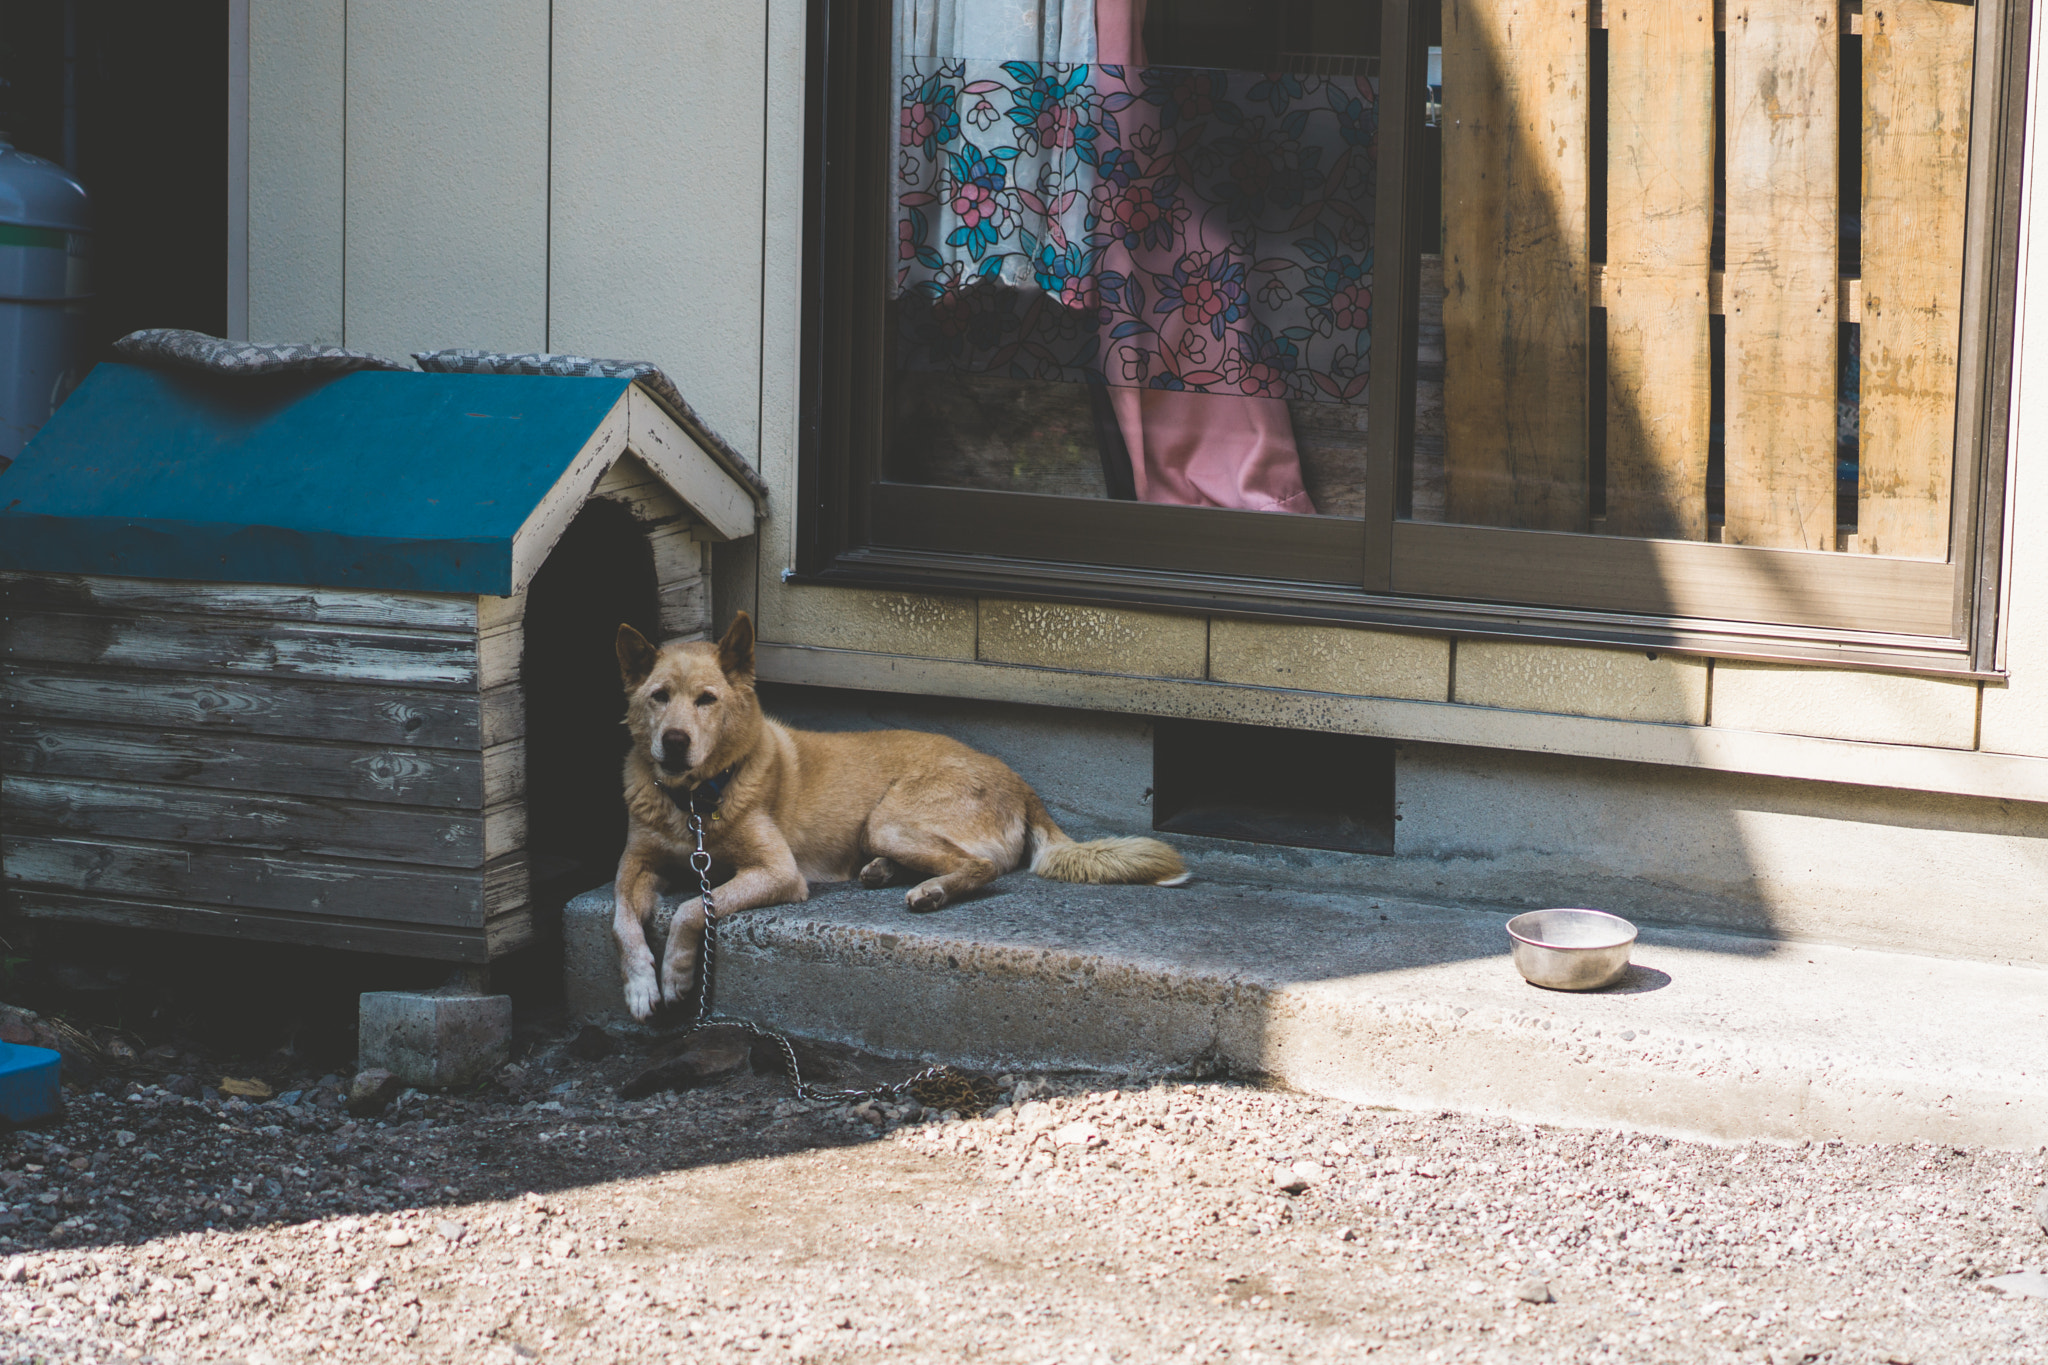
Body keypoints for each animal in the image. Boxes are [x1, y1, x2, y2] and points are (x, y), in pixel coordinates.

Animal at [610, 613, 1187, 1019]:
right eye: (659, 697)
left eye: (706, 700)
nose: (674, 742)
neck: (695, 803)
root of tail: (1020, 783)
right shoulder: (636, 862)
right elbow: (621, 919)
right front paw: (639, 985)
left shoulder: (778, 872)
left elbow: (691, 909)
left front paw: (677, 974)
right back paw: (883, 871)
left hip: (887, 819)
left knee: (983, 867)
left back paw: (929, 890)